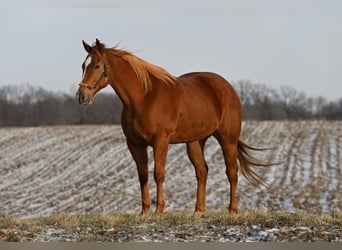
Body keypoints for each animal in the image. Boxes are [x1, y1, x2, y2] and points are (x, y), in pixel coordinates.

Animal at [76, 39, 272, 215]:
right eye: (83, 66)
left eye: (97, 66)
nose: (81, 96)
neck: (144, 98)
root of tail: (228, 88)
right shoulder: (134, 144)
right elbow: (143, 175)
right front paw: (144, 211)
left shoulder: (160, 142)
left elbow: (158, 173)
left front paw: (159, 210)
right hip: (195, 142)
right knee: (202, 171)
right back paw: (198, 211)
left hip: (228, 139)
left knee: (232, 172)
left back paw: (232, 210)